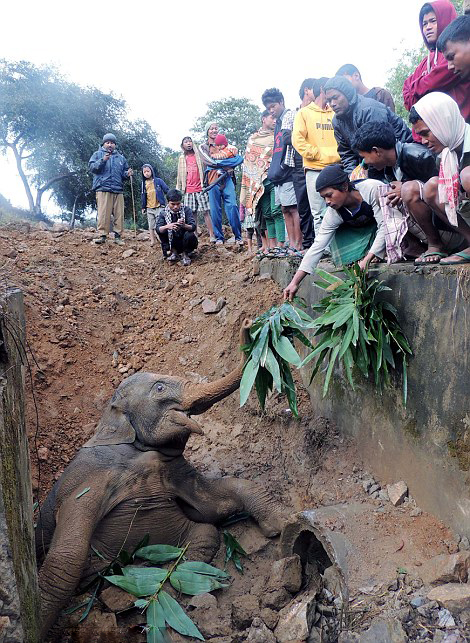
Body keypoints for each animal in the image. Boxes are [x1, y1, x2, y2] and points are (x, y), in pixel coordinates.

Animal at [36, 319, 286, 639]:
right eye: (159, 387)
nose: (249, 324)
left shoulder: (174, 469)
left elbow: (214, 506)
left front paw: (281, 525)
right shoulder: (90, 479)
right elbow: (67, 557)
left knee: (206, 533)